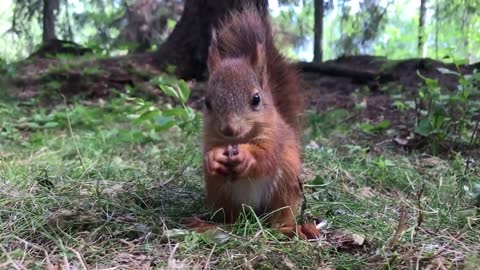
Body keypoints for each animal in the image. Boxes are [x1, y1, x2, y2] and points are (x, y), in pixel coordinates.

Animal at [182, 6, 320, 240]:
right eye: (207, 102)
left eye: (256, 99)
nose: (229, 129)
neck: (240, 138)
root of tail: (253, 211)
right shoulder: (210, 136)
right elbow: (208, 151)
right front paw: (212, 158)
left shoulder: (275, 137)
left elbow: (266, 156)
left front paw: (247, 157)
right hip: (220, 193)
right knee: (230, 219)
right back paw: (208, 225)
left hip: (285, 187)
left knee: (279, 219)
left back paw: (294, 228)